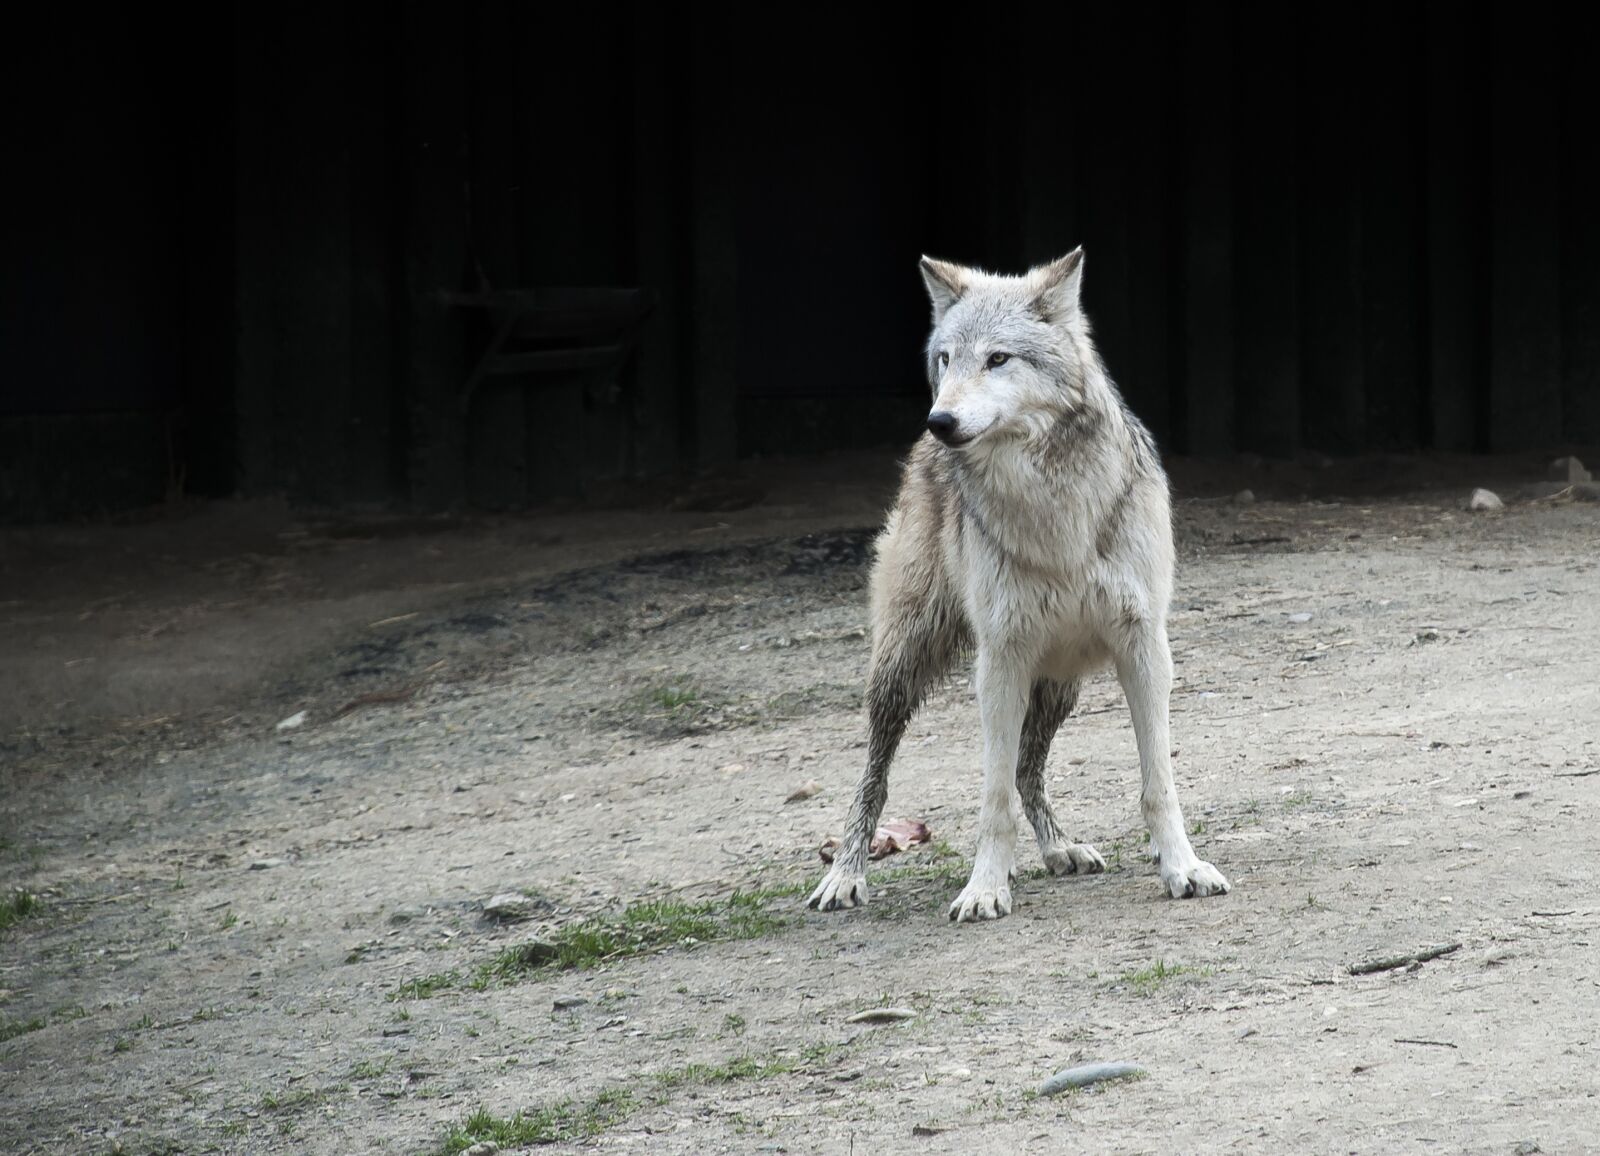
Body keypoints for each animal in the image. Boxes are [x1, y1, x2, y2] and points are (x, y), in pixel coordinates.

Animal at [808, 249, 1229, 922]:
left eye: (998, 358)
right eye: (947, 359)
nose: (941, 420)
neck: (1054, 511)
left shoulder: (1144, 648)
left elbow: (1157, 784)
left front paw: (1182, 868)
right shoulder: (1000, 658)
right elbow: (993, 799)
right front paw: (985, 888)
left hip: (1059, 682)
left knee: (1030, 768)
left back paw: (1060, 849)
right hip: (905, 665)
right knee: (877, 773)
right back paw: (846, 874)